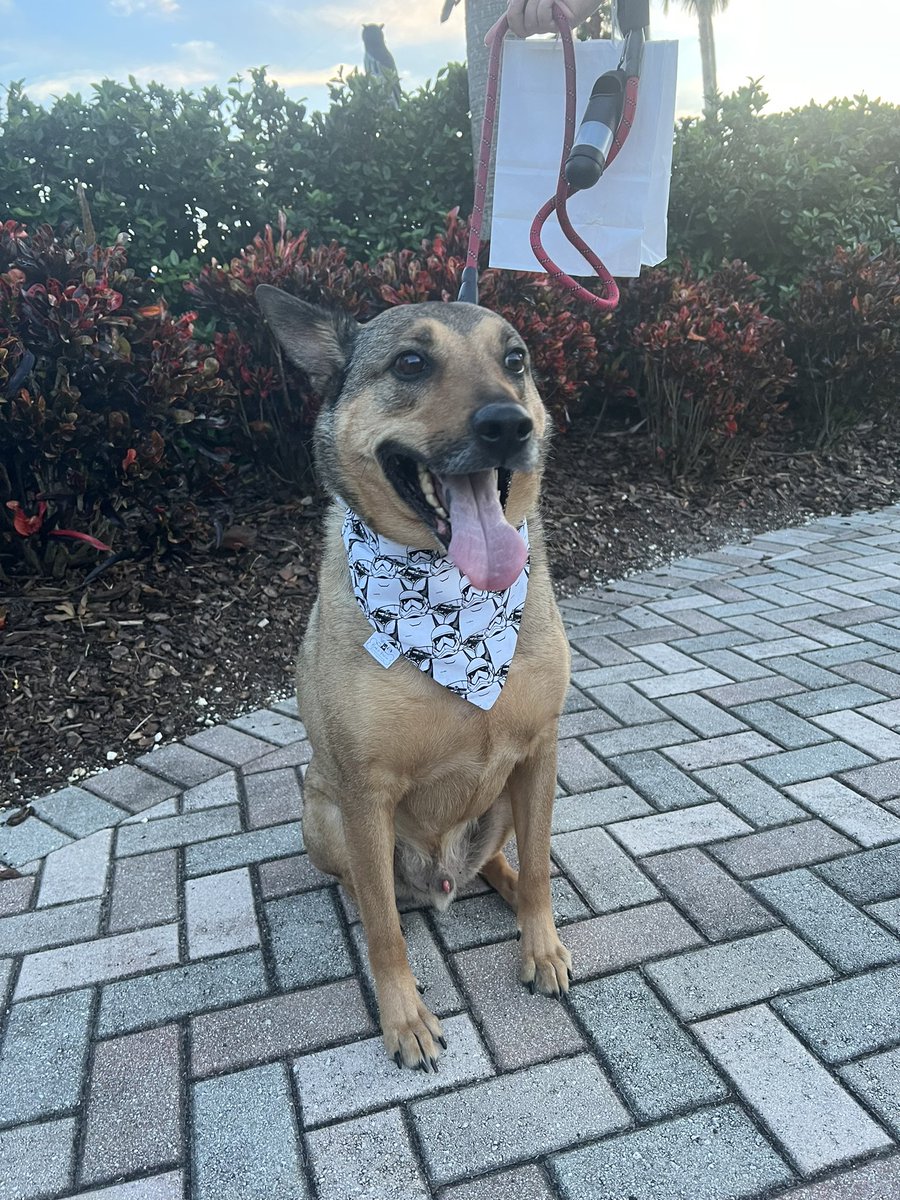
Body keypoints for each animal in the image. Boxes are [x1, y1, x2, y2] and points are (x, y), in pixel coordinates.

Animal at [256, 285, 573, 1075]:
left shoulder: (541, 750)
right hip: (325, 812)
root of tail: (440, 883)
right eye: (410, 363)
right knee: (369, 894)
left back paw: (505, 885)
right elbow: (383, 932)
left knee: (503, 858)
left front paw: (541, 943)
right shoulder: (366, 792)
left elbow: (541, 863)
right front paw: (403, 1020)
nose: (508, 424)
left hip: (501, 802)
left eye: (515, 359)